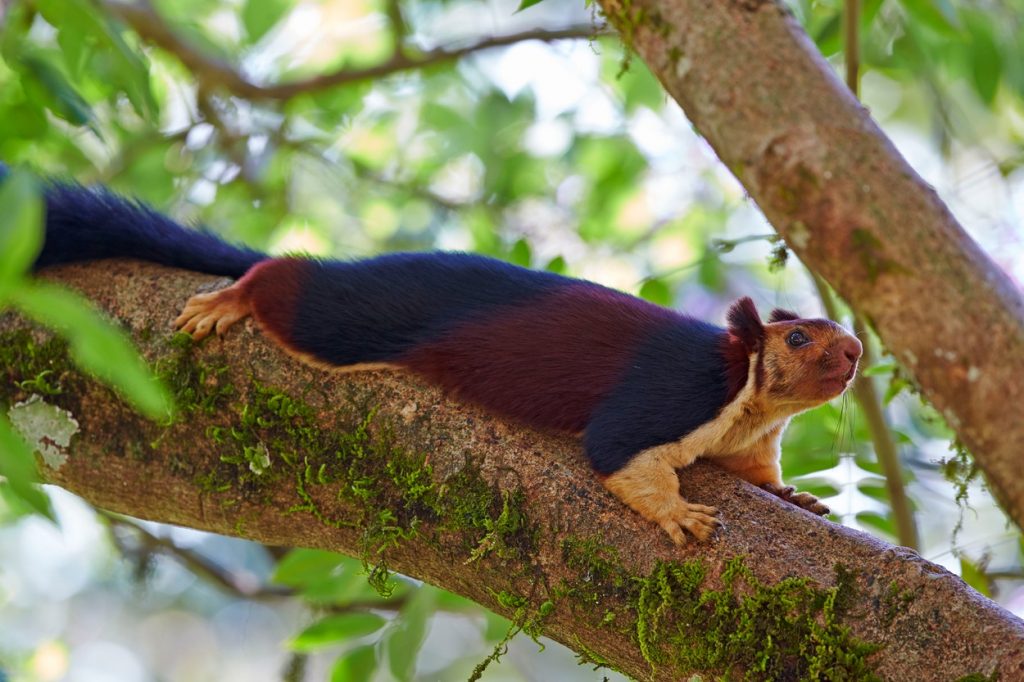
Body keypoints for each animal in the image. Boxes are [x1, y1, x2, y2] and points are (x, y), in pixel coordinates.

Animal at [28, 174, 860, 540]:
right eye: (797, 337)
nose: (854, 351)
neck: (749, 399)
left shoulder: (746, 442)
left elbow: (758, 478)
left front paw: (798, 499)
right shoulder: (677, 390)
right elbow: (618, 451)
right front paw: (680, 514)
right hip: (357, 318)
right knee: (297, 290)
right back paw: (237, 294)